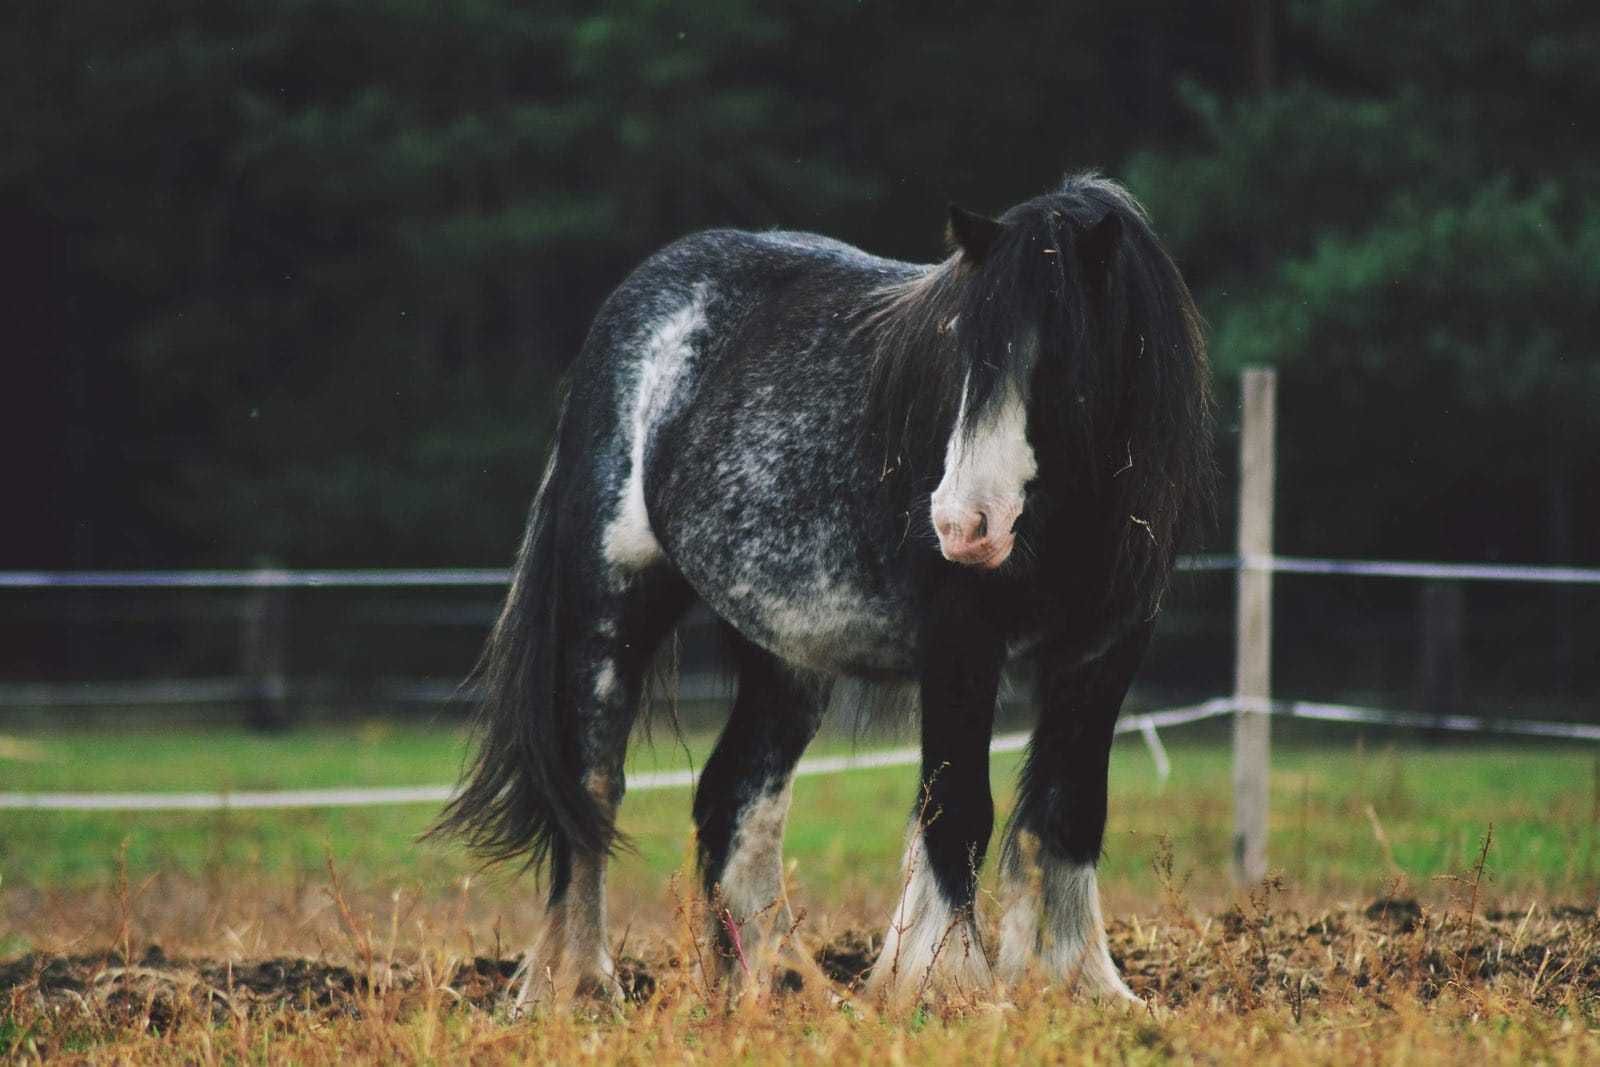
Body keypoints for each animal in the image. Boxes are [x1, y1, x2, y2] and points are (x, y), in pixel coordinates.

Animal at [435, 173, 1209, 1011]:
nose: (962, 525)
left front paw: (1088, 986)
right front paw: (950, 986)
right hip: (611, 607)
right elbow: (959, 810)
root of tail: (637, 302)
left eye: (1062, 357)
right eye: (963, 351)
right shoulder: (960, 647)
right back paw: (575, 987)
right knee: (591, 790)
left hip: (784, 652)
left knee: (737, 803)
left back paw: (783, 984)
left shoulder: (1104, 652)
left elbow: (1069, 812)